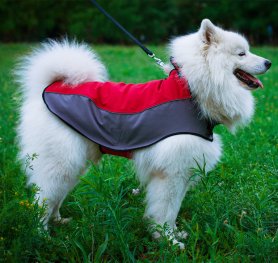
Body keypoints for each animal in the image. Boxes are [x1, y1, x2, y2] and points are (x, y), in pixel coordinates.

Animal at [16, 19, 270, 250]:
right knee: (42, 200)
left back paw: (58, 221)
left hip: (74, 163)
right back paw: (42, 236)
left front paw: (174, 233)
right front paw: (168, 240)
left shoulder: (182, 171)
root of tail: (50, 86)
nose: (268, 62)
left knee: (55, 197)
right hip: (60, 162)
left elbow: (173, 210)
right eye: (242, 53)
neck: (191, 92)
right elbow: (165, 210)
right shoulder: (172, 173)